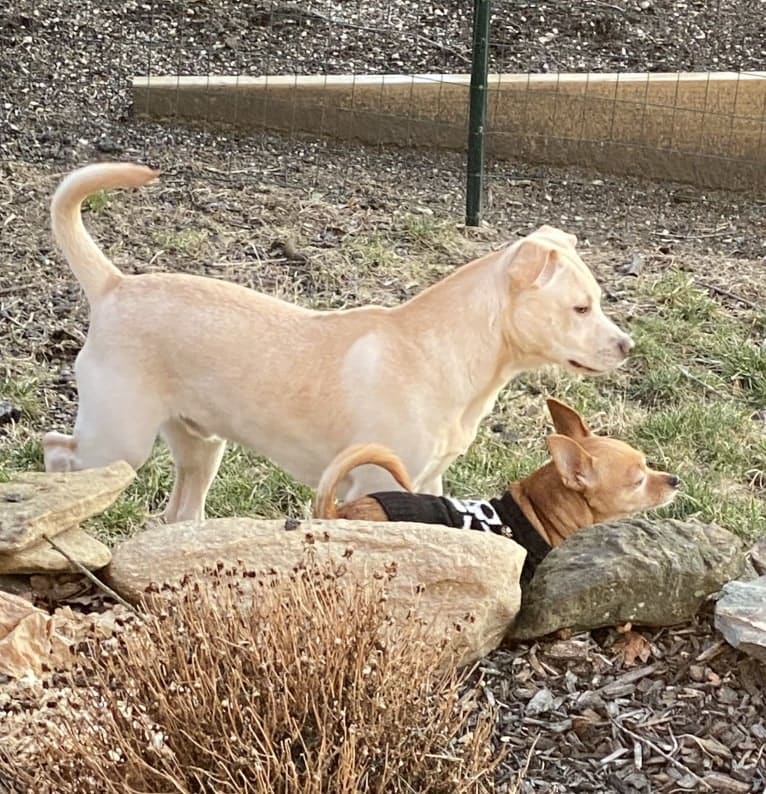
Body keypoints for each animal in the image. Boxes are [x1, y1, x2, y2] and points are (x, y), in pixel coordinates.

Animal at [45, 162, 640, 524]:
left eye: (597, 300)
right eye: (581, 308)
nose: (627, 347)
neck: (439, 353)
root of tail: (114, 286)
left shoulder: (430, 480)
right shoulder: (373, 482)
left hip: (200, 446)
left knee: (179, 512)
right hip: (118, 442)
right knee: (56, 451)